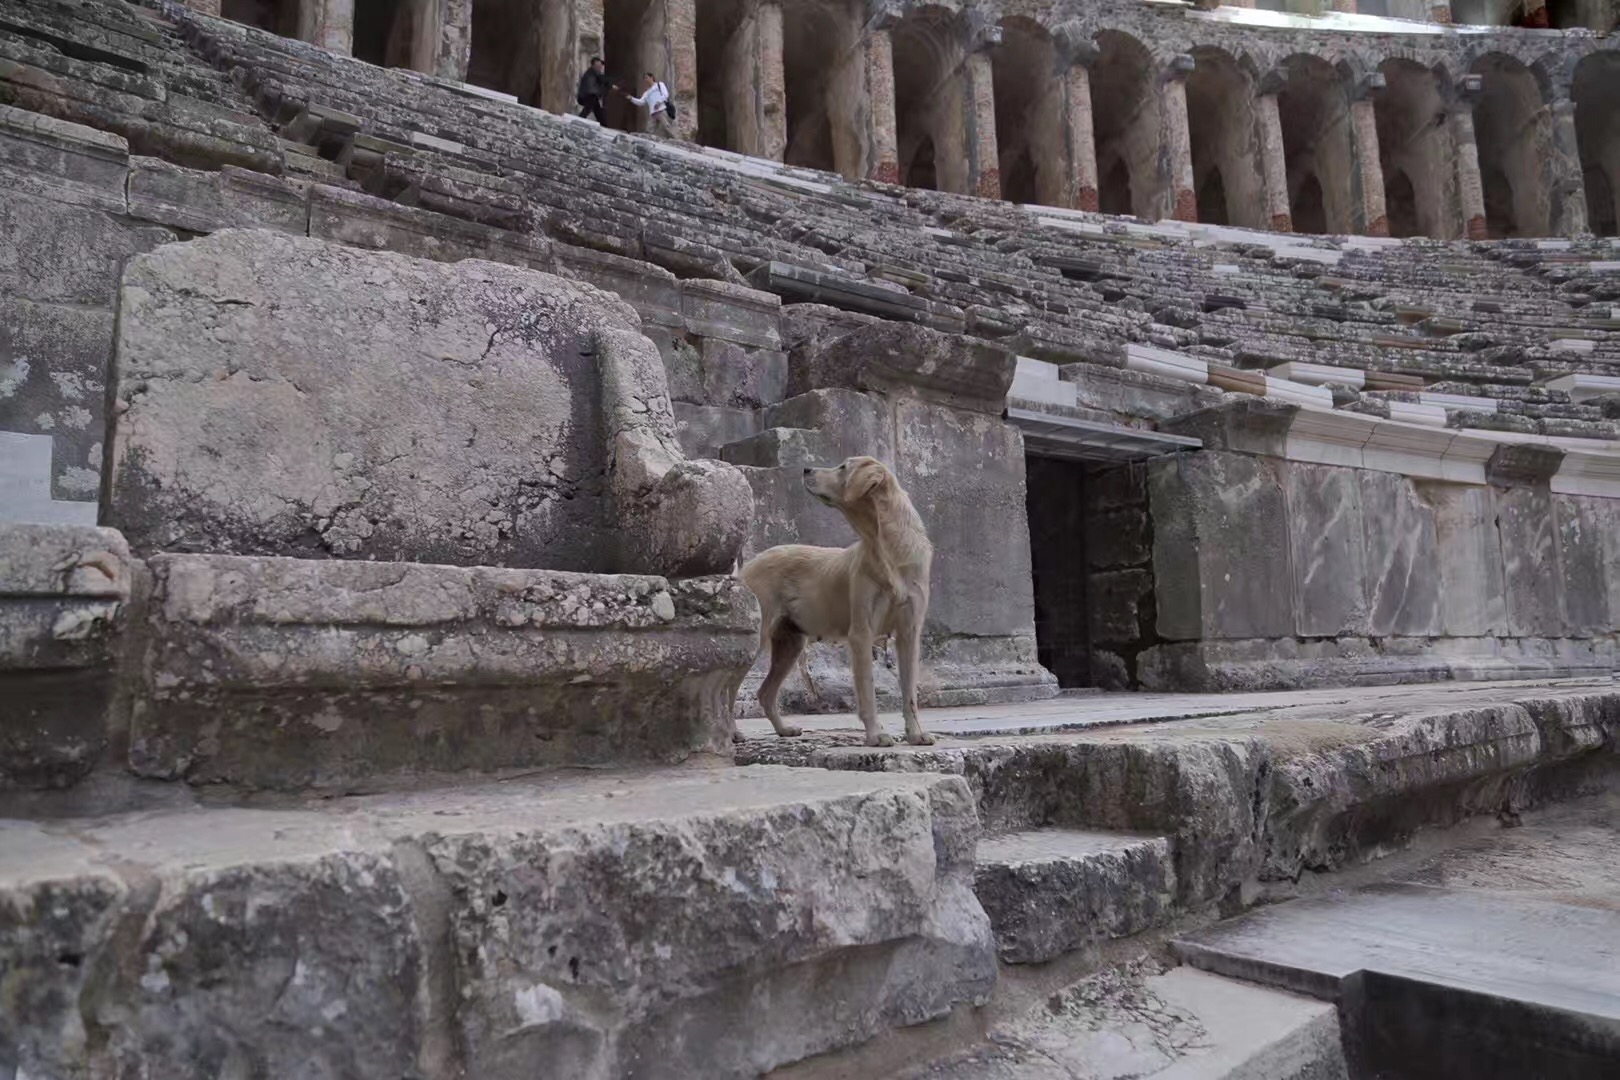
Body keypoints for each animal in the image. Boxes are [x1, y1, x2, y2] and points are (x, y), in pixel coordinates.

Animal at [738, 453, 933, 744]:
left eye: (843, 467)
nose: (806, 469)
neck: (886, 548)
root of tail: (749, 564)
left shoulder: (909, 631)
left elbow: (909, 692)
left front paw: (916, 734)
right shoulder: (861, 633)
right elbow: (867, 690)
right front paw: (876, 734)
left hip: (791, 643)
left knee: (764, 692)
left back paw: (783, 729)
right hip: (758, 637)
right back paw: (732, 732)